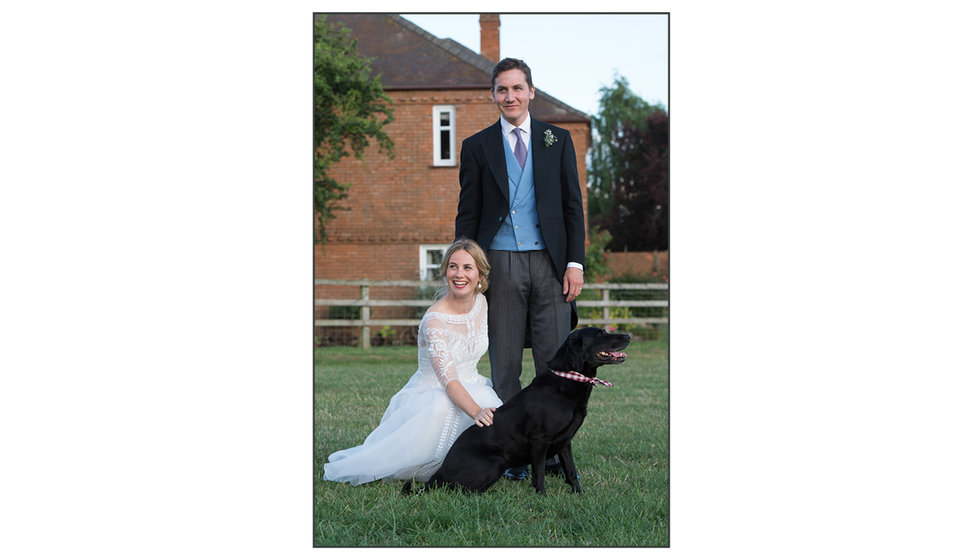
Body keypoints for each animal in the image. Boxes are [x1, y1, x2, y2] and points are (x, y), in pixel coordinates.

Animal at [404, 328, 628, 494]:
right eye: (600, 334)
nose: (627, 336)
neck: (566, 380)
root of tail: (438, 474)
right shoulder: (539, 440)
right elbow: (539, 473)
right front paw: (542, 497)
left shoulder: (565, 441)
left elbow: (570, 471)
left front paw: (578, 493)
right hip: (494, 462)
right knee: (459, 490)